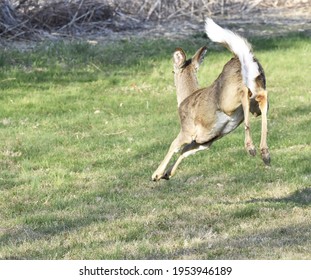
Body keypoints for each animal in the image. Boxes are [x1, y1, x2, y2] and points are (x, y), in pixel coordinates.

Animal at [152, 17, 272, 182]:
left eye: (172, 71)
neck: (186, 97)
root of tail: (243, 57)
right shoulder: (204, 141)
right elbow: (185, 151)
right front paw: (167, 173)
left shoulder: (188, 130)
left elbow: (174, 145)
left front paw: (156, 174)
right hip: (258, 91)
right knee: (262, 99)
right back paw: (265, 153)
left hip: (228, 100)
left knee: (244, 93)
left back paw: (250, 147)